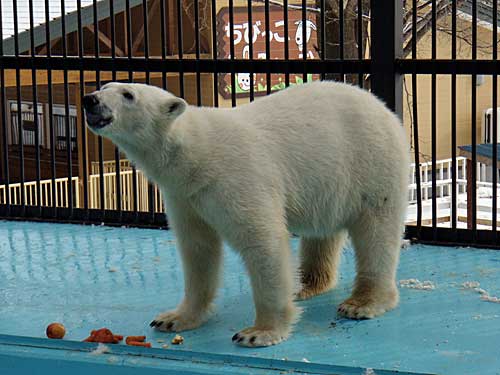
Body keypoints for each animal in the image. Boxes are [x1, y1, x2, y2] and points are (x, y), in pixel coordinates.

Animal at [83, 81, 410, 350]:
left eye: (128, 94)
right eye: (104, 85)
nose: (89, 99)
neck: (196, 155)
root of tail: (384, 109)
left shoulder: (237, 178)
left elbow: (262, 242)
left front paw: (258, 333)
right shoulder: (185, 196)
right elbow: (198, 249)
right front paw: (173, 318)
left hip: (371, 164)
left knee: (376, 234)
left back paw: (362, 303)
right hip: (330, 183)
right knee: (322, 231)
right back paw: (307, 286)